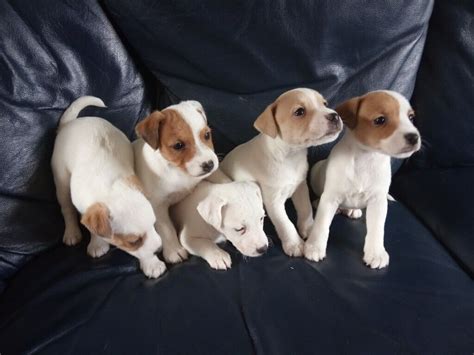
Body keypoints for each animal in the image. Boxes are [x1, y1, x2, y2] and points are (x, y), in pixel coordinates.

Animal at [51, 96, 166, 280]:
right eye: (133, 241)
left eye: (155, 225)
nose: (159, 248)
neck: (108, 189)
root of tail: (70, 123)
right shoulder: (85, 207)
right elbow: (93, 229)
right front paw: (98, 243)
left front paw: (151, 263)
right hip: (61, 179)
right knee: (66, 208)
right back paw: (71, 232)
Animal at [132, 100, 219, 264]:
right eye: (178, 145)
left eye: (207, 135)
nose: (209, 165)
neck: (179, 172)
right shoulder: (158, 206)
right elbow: (167, 229)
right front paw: (174, 250)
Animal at [218, 87, 344, 258]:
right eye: (299, 112)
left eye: (325, 104)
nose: (334, 115)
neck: (289, 157)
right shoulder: (273, 201)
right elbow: (285, 223)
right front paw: (294, 244)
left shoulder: (301, 187)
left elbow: (305, 209)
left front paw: (309, 229)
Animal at [306, 90, 420, 268]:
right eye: (380, 120)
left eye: (411, 117)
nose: (414, 137)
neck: (366, 158)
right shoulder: (330, 198)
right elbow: (322, 224)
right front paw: (315, 246)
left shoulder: (378, 202)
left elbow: (377, 229)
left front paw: (376, 253)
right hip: (316, 172)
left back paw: (353, 210)